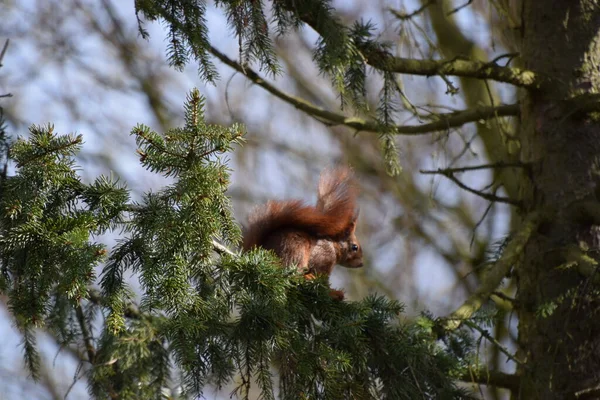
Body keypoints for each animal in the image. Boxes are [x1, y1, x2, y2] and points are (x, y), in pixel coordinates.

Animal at [241, 166, 364, 300]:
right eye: (355, 247)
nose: (361, 264)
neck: (333, 245)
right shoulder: (324, 257)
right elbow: (321, 279)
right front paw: (333, 293)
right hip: (295, 251)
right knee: (292, 274)